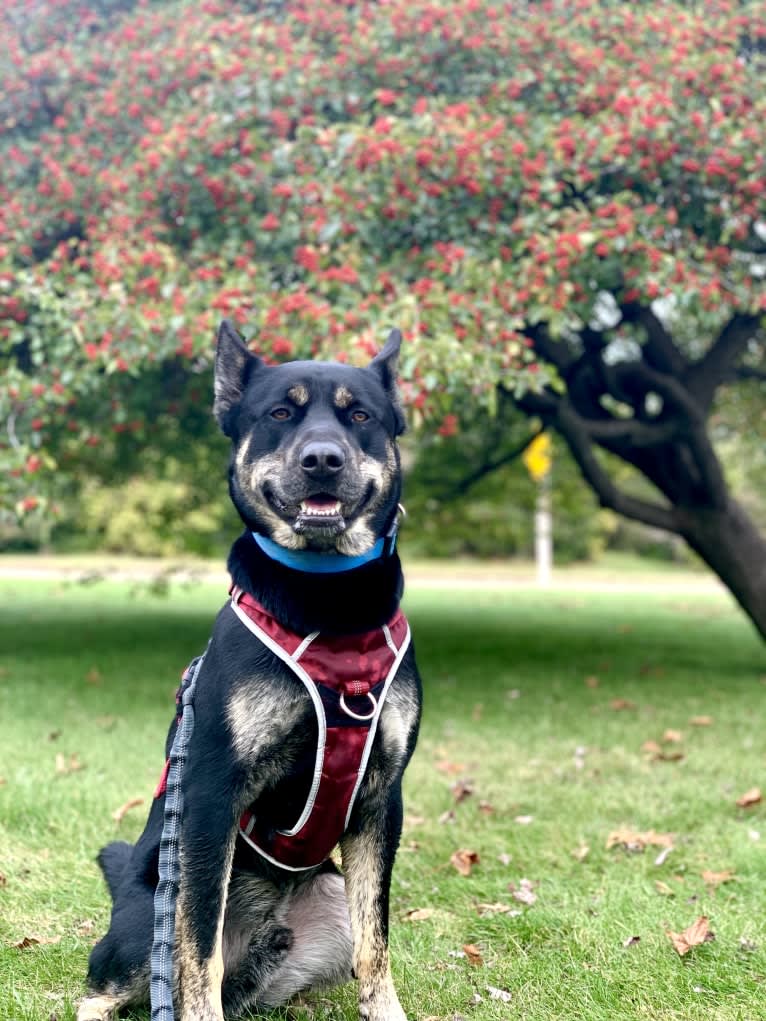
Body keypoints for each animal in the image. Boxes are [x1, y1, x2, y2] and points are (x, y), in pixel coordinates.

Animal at [76, 320, 426, 1021]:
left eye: (360, 416)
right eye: (280, 415)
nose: (323, 459)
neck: (329, 600)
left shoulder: (383, 800)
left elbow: (376, 944)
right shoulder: (212, 796)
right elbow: (195, 950)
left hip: (328, 909)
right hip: (138, 926)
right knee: (108, 990)